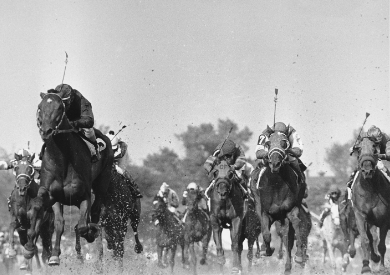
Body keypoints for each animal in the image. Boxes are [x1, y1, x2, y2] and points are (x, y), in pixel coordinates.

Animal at [30, 92, 113, 266]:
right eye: (40, 107)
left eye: (60, 108)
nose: (46, 131)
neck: (63, 158)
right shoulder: (53, 195)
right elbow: (57, 222)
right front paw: (53, 255)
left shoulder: (84, 196)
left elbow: (82, 226)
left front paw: (89, 233)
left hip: (103, 182)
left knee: (94, 214)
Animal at [251, 133, 306, 274]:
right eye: (268, 143)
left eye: (284, 143)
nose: (275, 163)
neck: (276, 184)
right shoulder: (266, 212)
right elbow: (266, 233)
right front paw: (267, 250)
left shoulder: (290, 209)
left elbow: (295, 226)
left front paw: (299, 256)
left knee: (287, 238)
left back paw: (289, 265)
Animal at [350, 137, 386, 274]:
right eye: (358, 149)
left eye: (374, 148)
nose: (367, 170)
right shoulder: (360, 215)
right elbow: (365, 241)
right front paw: (365, 266)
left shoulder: (385, 220)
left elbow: (382, 245)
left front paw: (382, 267)